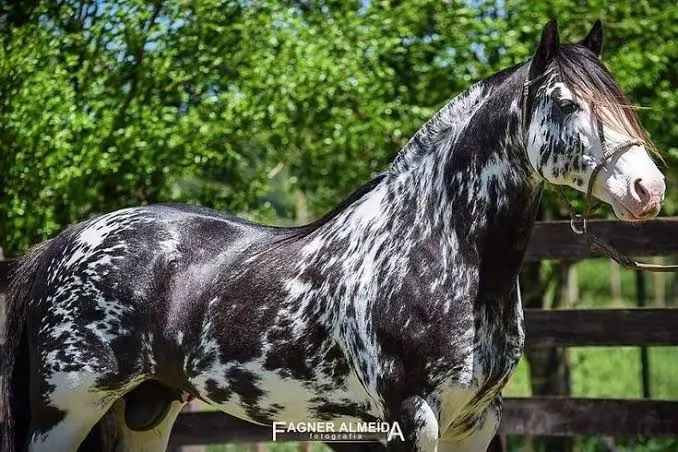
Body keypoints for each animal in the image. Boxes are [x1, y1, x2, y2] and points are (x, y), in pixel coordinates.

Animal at [1, 19, 666, 451]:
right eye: (565, 102)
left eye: (620, 99)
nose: (649, 188)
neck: (436, 253)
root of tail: (65, 245)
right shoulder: (411, 420)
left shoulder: (475, 423)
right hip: (64, 413)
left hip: (146, 411)